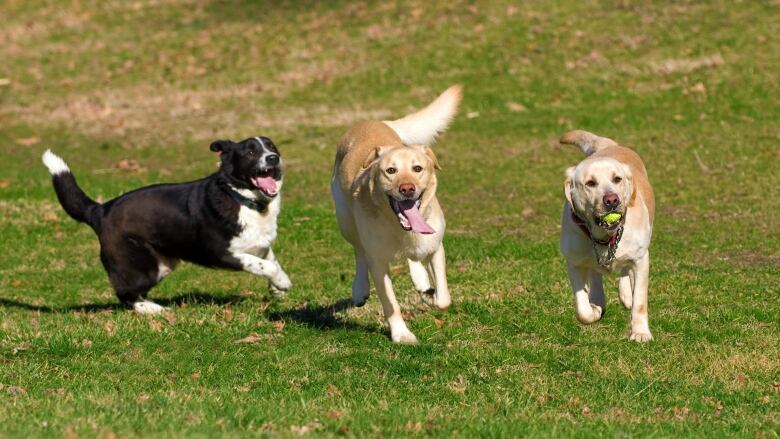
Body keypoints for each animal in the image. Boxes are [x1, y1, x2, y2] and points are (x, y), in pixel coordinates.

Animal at [40, 137, 290, 312]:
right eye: (251, 151)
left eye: (272, 146)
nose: (273, 158)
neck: (246, 200)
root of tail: (101, 210)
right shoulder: (223, 254)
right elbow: (266, 266)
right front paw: (283, 283)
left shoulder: (261, 245)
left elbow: (270, 260)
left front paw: (277, 288)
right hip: (143, 269)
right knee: (125, 294)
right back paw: (152, 309)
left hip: (161, 265)